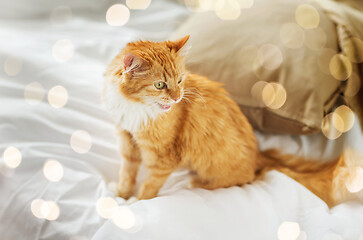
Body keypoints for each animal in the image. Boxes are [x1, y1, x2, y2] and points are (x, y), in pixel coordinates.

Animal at [103, 35, 363, 206]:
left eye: (179, 80)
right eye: (159, 85)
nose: (177, 98)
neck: (135, 109)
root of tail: (259, 155)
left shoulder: (163, 158)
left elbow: (149, 186)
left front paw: (136, 203)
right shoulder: (127, 142)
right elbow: (127, 174)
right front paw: (122, 194)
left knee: (236, 180)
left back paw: (196, 183)